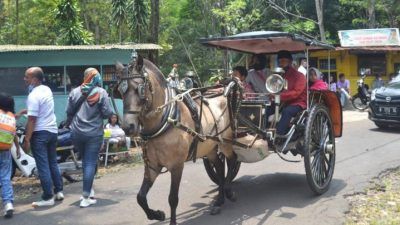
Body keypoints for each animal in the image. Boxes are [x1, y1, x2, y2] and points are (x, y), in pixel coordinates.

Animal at [116, 55, 238, 225]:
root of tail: (223, 94)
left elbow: (172, 199)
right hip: (210, 148)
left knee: (232, 160)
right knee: (220, 167)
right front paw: (157, 214)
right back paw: (219, 200)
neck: (166, 121)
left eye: (139, 89)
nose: (128, 127)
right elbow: (140, 197)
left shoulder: (177, 166)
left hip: (225, 141)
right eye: (120, 91)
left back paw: (228, 191)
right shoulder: (153, 166)